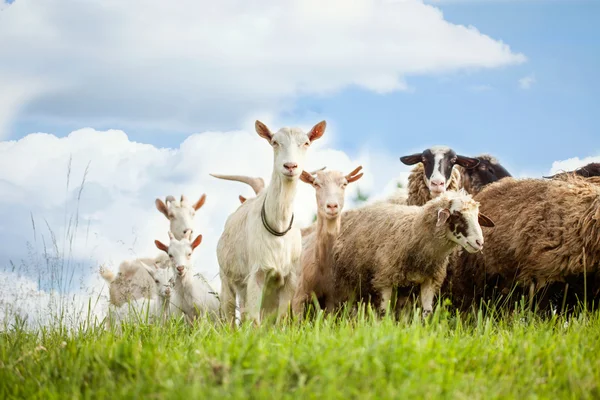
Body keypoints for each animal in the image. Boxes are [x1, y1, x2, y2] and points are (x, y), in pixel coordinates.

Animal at [213, 118, 326, 324]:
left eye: (306, 143)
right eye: (274, 142)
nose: (290, 166)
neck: (278, 226)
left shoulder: (290, 278)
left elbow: (280, 318)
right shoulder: (256, 275)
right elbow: (254, 320)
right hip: (228, 278)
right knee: (229, 312)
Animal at [330, 189, 494, 318]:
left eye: (477, 216)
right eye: (457, 215)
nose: (480, 242)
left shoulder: (429, 281)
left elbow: (427, 313)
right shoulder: (384, 279)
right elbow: (383, 312)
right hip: (346, 283)